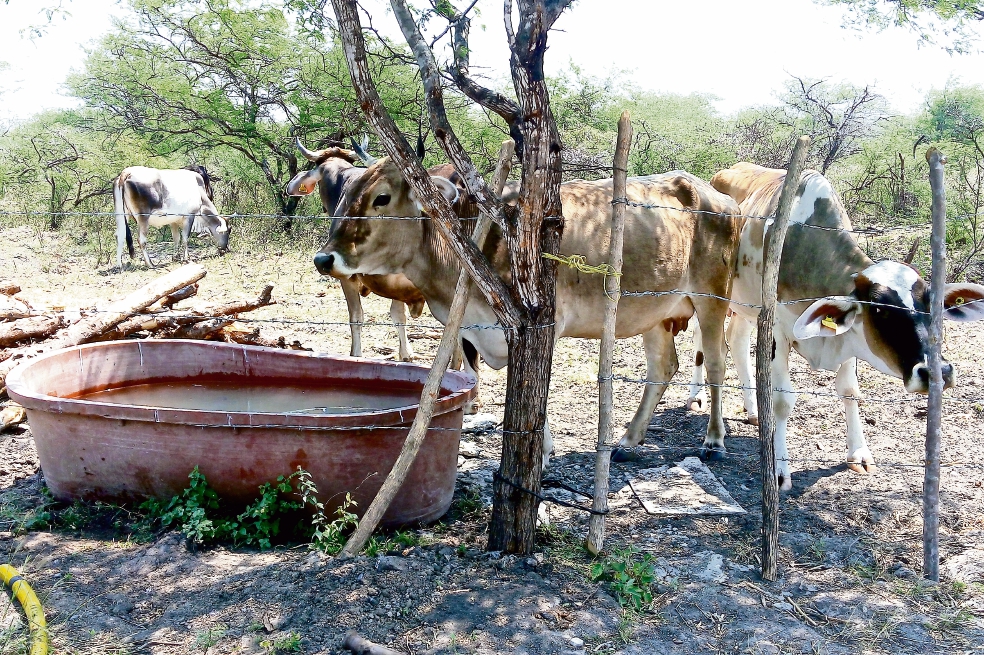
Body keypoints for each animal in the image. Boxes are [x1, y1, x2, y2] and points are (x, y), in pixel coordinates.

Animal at [312, 158, 740, 466]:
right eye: (345, 195)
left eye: (381, 198)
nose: (324, 258)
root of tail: (715, 194)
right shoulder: (474, 331)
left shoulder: (540, 322)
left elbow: (537, 388)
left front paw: (543, 453)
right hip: (656, 311)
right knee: (663, 367)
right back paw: (627, 439)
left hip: (713, 297)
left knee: (716, 363)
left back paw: (714, 439)